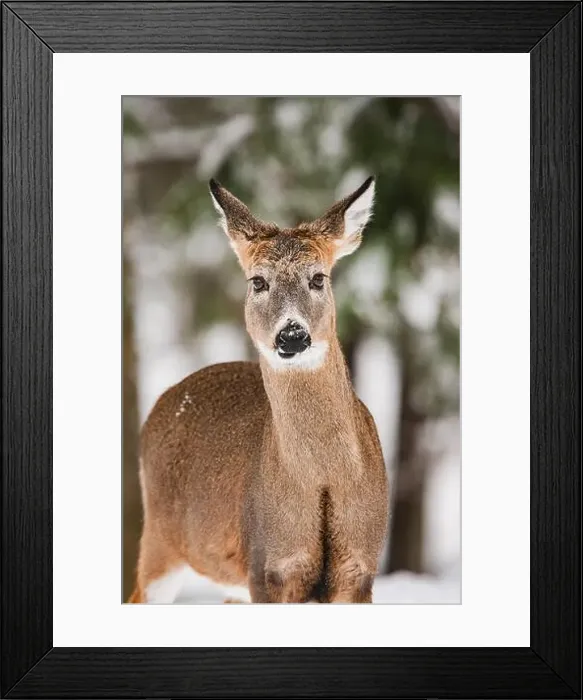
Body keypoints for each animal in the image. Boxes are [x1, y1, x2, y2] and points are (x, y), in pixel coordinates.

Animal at [129, 176, 389, 604]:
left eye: (319, 278)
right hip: (161, 542)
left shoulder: (360, 570)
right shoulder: (267, 565)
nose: (292, 334)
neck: (323, 482)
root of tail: (163, 400)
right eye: (258, 282)